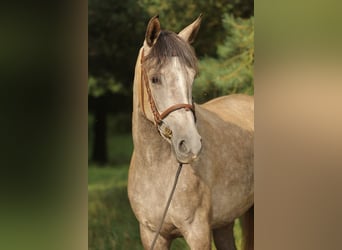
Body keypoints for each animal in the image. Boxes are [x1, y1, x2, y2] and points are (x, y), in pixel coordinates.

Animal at [128, 15, 254, 250]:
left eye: (192, 77)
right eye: (155, 78)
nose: (191, 144)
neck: (156, 169)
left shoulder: (197, 233)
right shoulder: (152, 235)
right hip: (225, 223)